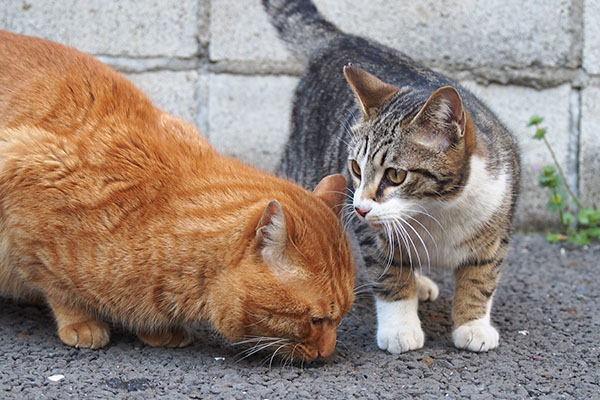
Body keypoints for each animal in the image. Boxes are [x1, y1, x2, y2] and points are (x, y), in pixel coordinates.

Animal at [1, 31, 356, 360]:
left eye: (342, 318)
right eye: (316, 319)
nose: (328, 352)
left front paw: (159, 330)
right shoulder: (22, 168)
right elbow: (58, 290)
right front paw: (81, 322)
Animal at [264, 0, 520, 352]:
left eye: (396, 175)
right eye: (356, 169)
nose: (359, 207)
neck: (438, 211)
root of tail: (340, 40)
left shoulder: (497, 223)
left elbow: (481, 278)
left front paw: (473, 325)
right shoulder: (374, 235)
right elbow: (391, 275)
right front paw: (400, 328)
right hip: (301, 163)